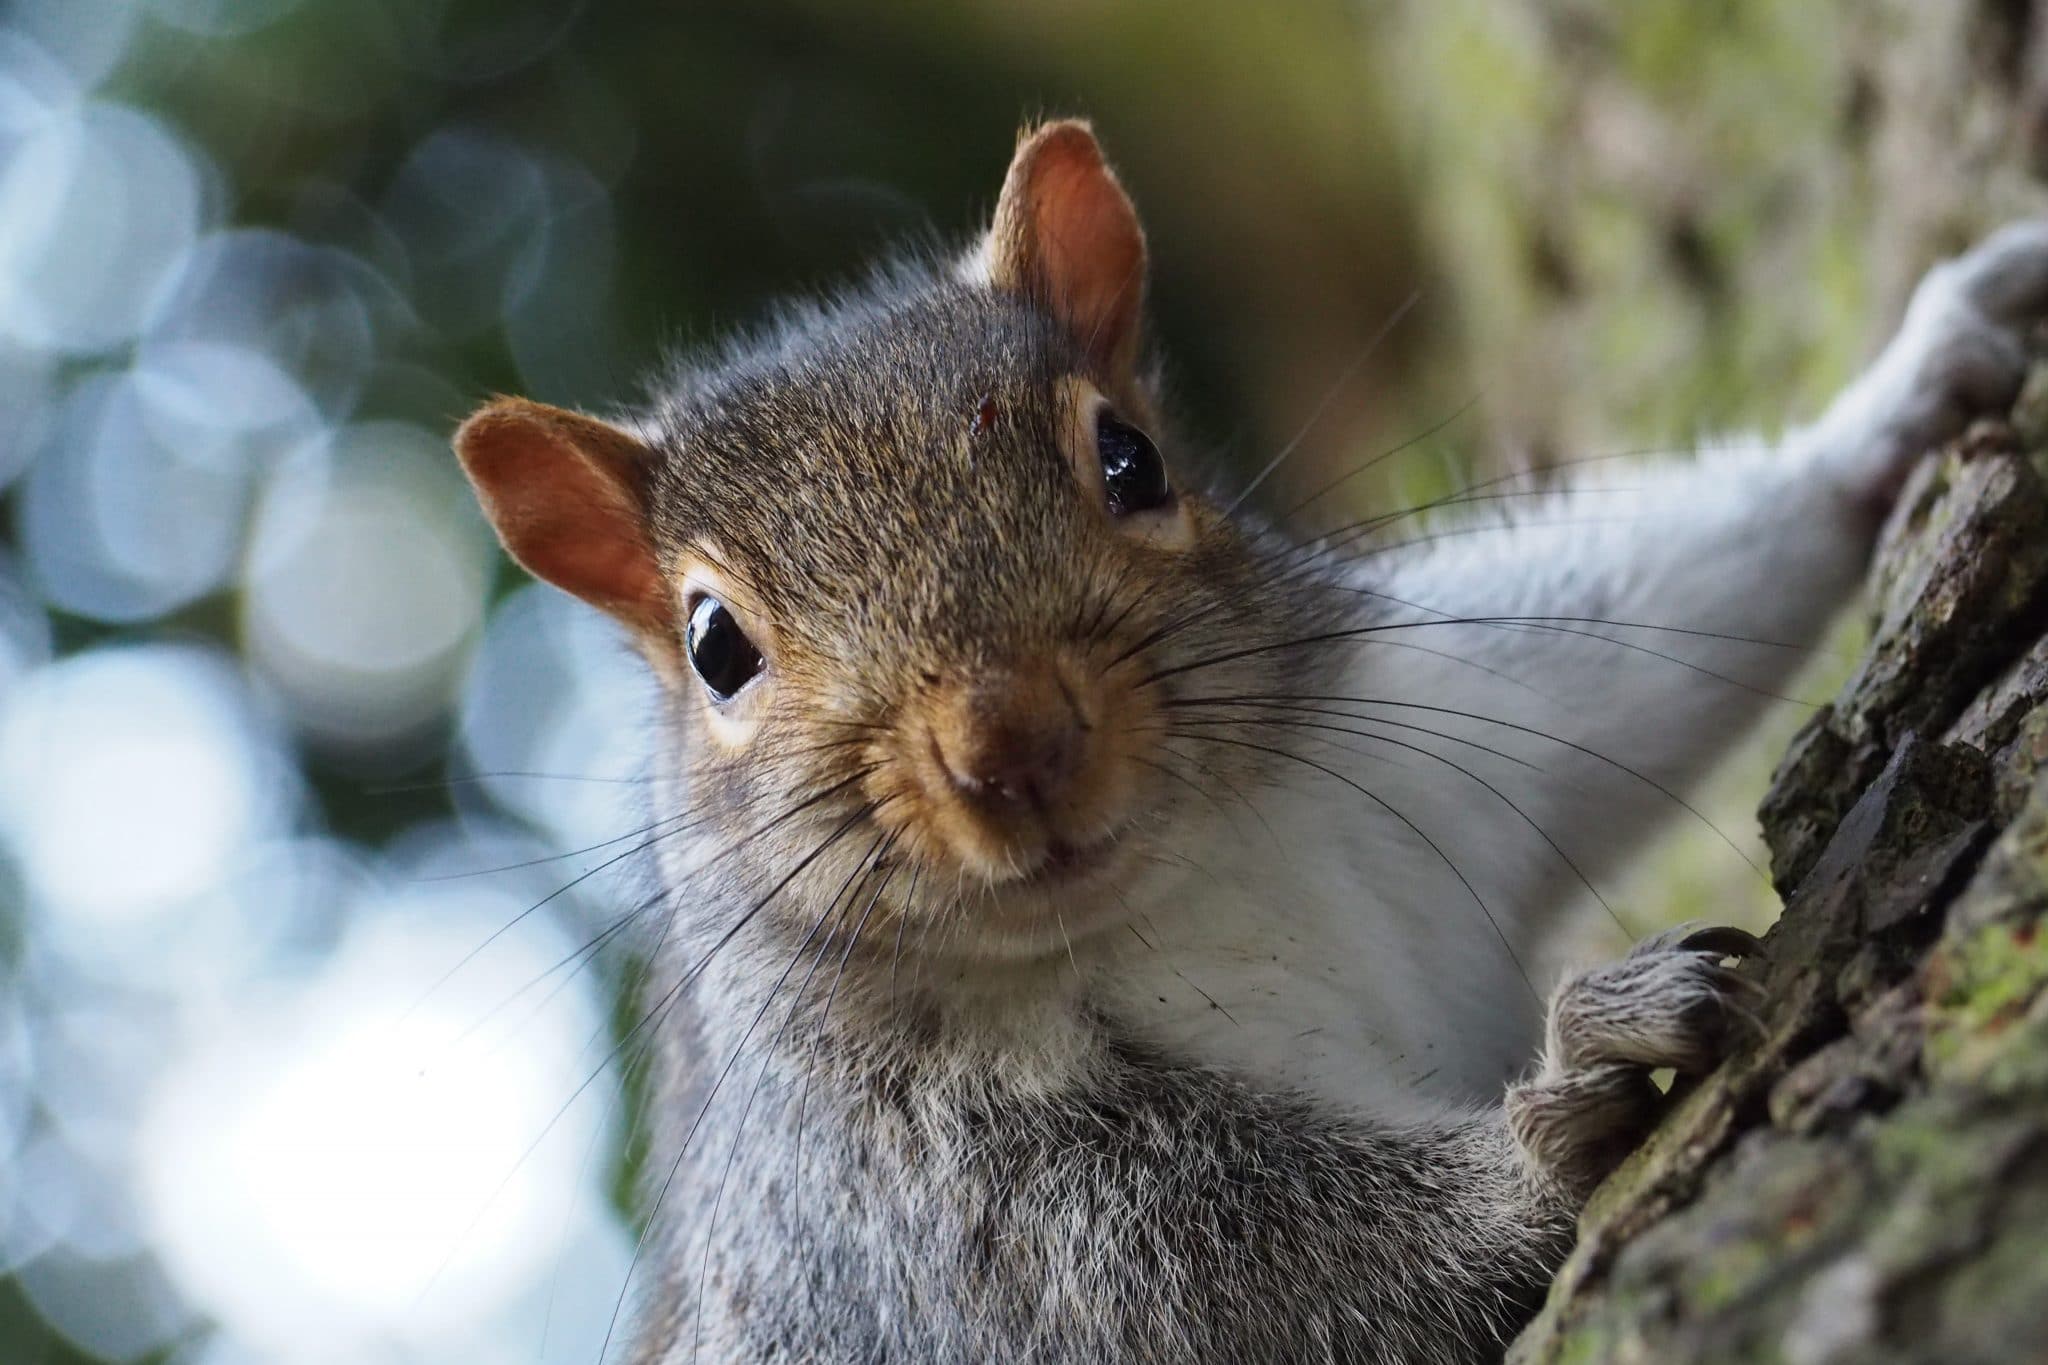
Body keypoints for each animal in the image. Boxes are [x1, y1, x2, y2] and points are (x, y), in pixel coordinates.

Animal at [451, 121, 2048, 1363]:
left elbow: (1647, 633)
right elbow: (1239, 1281)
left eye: (1128, 458)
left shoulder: (1445, 730)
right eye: (716, 648)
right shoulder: (917, 1210)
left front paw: (1904, 394)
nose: (1010, 742)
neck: (1188, 884)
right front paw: (1564, 1112)